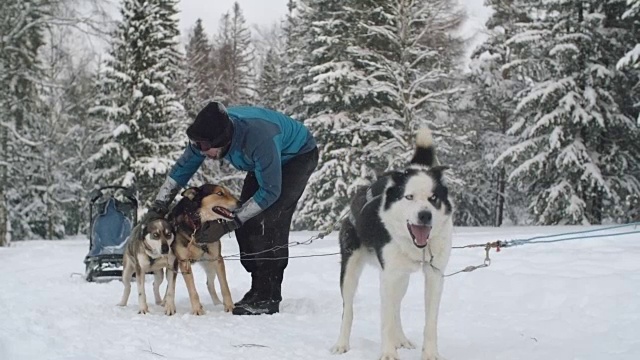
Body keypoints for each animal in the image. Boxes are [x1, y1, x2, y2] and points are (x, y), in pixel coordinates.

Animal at [162, 184, 240, 314]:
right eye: (219, 193)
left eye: (228, 192)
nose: (240, 202)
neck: (199, 225)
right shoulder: (184, 262)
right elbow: (192, 290)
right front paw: (197, 310)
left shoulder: (217, 259)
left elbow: (224, 286)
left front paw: (229, 306)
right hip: (172, 263)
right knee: (170, 286)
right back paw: (168, 306)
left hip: (210, 265)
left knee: (209, 284)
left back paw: (217, 304)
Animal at [330, 129, 456, 360]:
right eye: (409, 197)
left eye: (433, 198)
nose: (425, 215)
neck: (416, 247)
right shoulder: (388, 277)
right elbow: (385, 321)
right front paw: (388, 353)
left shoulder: (435, 276)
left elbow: (430, 322)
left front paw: (430, 354)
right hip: (351, 270)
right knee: (349, 309)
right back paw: (342, 344)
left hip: (402, 278)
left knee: (396, 306)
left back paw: (401, 339)